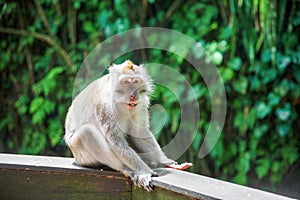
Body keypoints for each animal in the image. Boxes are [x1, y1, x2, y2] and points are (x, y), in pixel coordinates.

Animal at [64, 60, 176, 191]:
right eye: (126, 82)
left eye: (136, 82)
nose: (133, 95)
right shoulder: (105, 106)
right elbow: (115, 141)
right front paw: (145, 171)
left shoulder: (140, 104)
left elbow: (139, 132)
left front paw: (163, 160)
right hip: (80, 153)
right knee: (87, 132)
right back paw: (127, 169)